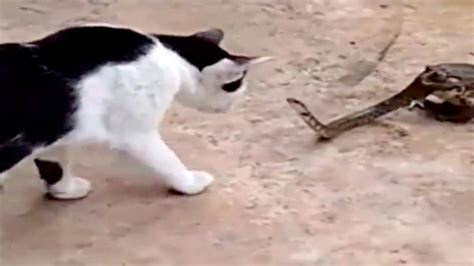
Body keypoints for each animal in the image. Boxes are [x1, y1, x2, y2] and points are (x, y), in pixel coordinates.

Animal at [0, 23, 270, 200]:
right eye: (236, 85)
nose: (234, 106)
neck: (172, 57)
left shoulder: (56, 131)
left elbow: (55, 163)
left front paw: (66, 190)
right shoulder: (137, 134)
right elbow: (168, 161)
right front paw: (190, 183)